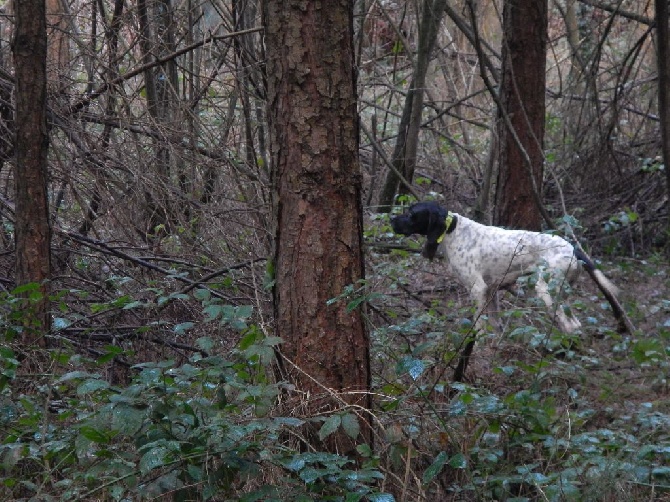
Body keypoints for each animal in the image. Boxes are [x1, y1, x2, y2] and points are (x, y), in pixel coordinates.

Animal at [392, 199, 624, 334]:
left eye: (411, 214)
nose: (392, 220)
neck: (453, 231)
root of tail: (573, 249)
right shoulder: (491, 290)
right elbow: (494, 323)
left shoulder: (477, 289)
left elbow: (479, 326)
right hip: (561, 293)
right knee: (575, 325)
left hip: (546, 290)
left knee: (567, 325)